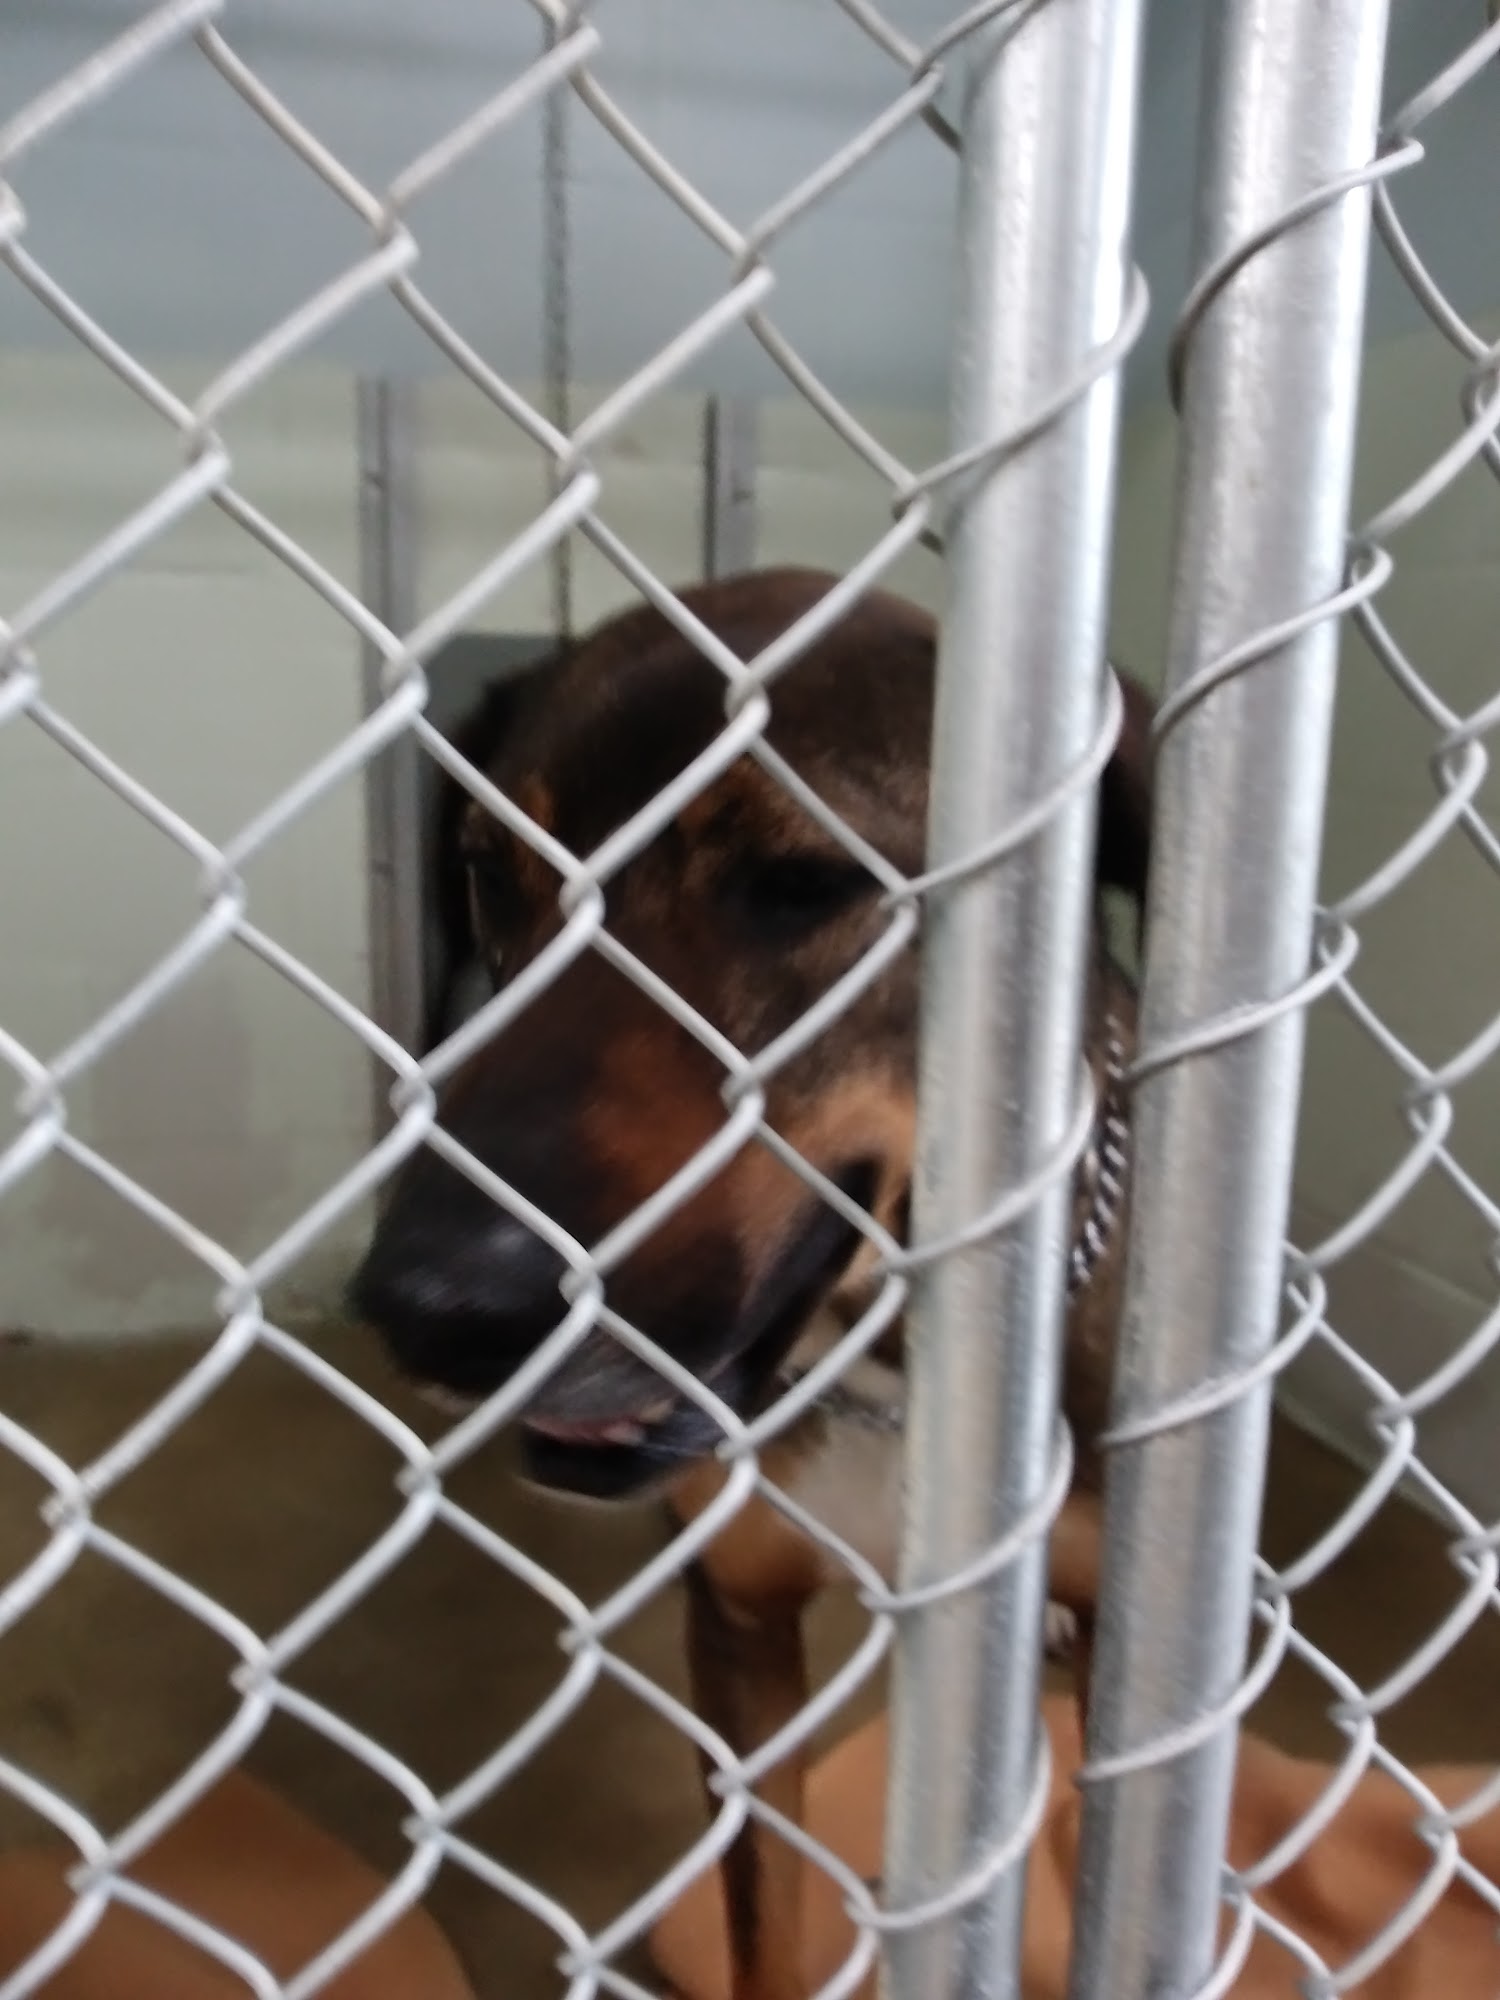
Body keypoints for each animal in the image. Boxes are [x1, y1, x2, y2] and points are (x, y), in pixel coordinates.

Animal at [351, 568, 1154, 2000]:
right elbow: (763, 1911)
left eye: (801, 881)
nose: (431, 1305)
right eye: (491, 871)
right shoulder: (736, 1633)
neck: (887, 1368)